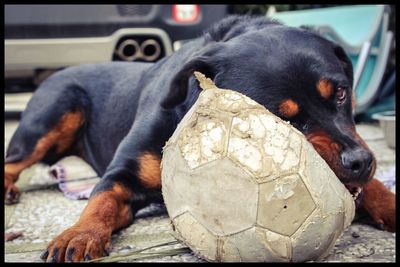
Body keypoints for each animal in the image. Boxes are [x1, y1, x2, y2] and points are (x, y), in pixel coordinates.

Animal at [3, 15, 396, 262]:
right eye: (280, 118)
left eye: (342, 93)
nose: (359, 161)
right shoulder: (122, 175)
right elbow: (100, 201)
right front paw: (79, 234)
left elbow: (373, 185)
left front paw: (388, 201)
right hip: (53, 113)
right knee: (15, 160)